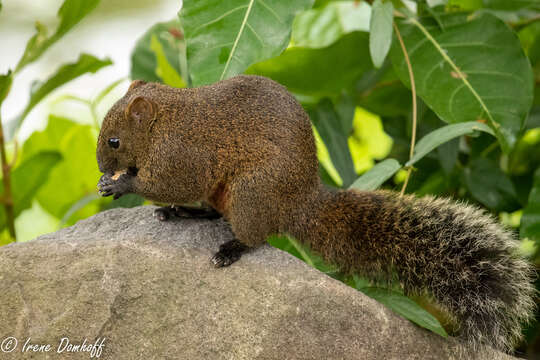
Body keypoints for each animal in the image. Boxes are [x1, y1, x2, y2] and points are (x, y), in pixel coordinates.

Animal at [96, 74, 536, 352]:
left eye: (114, 141)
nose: (101, 166)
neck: (165, 121)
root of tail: (300, 203)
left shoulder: (183, 155)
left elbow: (170, 182)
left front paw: (121, 184)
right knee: (214, 213)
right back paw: (183, 215)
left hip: (250, 192)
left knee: (253, 234)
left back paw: (230, 249)